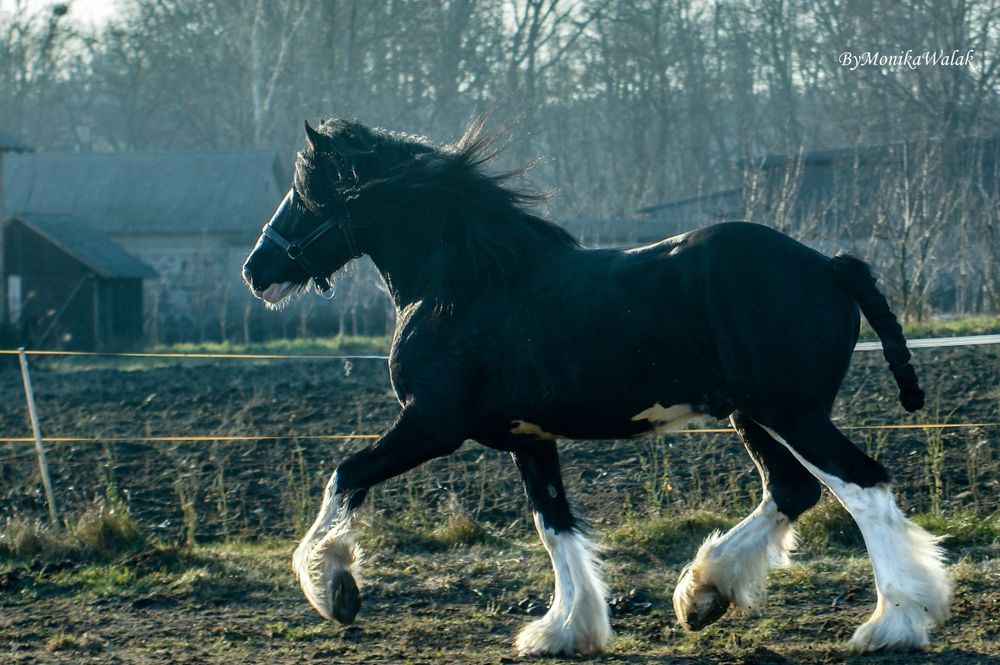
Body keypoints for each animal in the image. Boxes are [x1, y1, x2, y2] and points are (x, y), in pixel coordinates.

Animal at [240, 118, 944, 652]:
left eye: (305, 194)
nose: (256, 270)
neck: (462, 289)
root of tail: (830, 263)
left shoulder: (432, 425)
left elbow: (344, 475)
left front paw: (333, 589)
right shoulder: (528, 438)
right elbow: (554, 525)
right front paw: (562, 631)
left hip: (791, 412)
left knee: (864, 487)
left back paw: (892, 625)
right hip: (754, 415)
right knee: (793, 489)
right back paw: (702, 593)